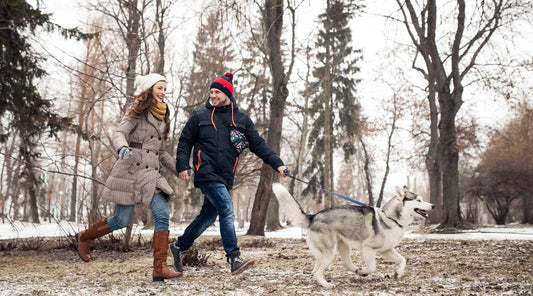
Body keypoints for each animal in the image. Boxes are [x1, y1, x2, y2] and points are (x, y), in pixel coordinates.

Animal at [272, 184, 434, 288]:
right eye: (418, 200)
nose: (433, 205)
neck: (391, 218)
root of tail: (313, 216)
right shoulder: (368, 248)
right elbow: (372, 267)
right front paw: (364, 271)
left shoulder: (386, 250)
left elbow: (403, 260)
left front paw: (397, 273)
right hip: (330, 252)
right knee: (317, 272)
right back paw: (327, 285)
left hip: (341, 247)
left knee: (332, 266)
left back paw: (354, 271)